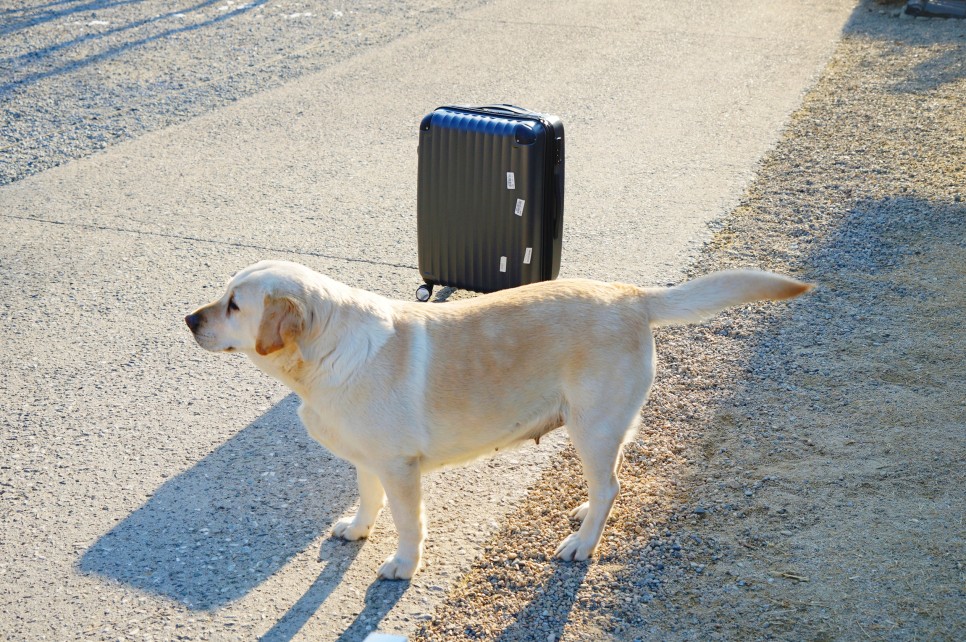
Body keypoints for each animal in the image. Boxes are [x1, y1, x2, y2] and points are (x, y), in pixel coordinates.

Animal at [185, 258, 812, 576]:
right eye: (222, 295)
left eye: (234, 306)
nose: (189, 319)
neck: (325, 352)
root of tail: (631, 293)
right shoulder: (368, 460)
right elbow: (367, 499)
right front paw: (358, 529)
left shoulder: (400, 466)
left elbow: (408, 523)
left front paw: (402, 564)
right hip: (602, 425)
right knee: (611, 479)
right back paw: (585, 512)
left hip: (590, 424)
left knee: (610, 484)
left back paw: (582, 543)